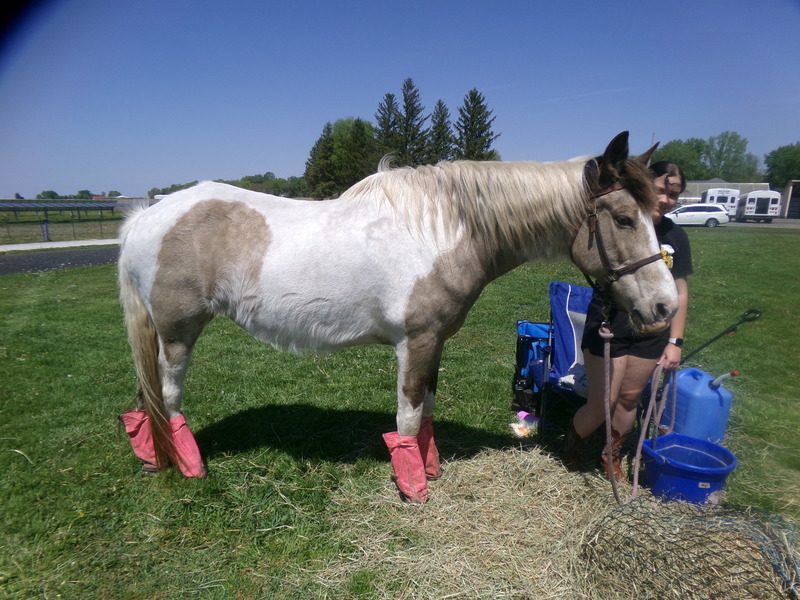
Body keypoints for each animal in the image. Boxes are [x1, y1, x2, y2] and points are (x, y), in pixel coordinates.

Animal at [117, 131, 678, 503]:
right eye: (624, 219)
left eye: (656, 216)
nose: (664, 308)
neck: (448, 228)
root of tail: (147, 216)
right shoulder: (416, 341)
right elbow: (408, 415)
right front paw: (413, 488)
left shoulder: (436, 342)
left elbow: (426, 408)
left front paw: (430, 469)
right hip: (178, 334)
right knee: (169, 397)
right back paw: (190, 467)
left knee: (145, 399)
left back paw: (152, 458)